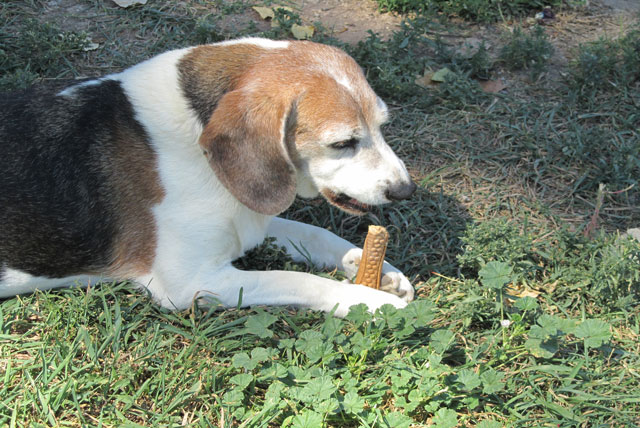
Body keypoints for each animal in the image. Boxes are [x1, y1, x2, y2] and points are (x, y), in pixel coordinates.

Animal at [0, 38, 416, 317]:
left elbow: (315, 234)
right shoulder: (191, 283)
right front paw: (369, 301)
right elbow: (295, 278)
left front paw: (374, 267)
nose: (406, 190)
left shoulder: (246, 214)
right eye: (342, 143)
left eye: (382, 126)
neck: (195, 140)